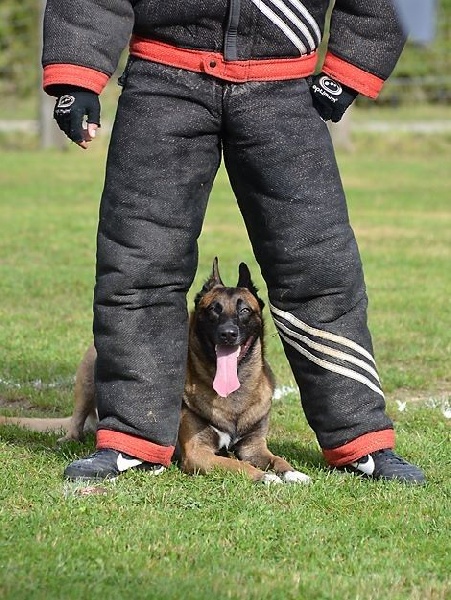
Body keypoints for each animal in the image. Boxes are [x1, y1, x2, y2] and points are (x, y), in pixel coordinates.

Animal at [0, 260, 310, 486]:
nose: (228, 334)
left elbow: (276, 458)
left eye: (244, 310)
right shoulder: (198, 454)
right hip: (90, 367)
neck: (234, 394)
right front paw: (265, 477)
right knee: (76, 422)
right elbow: (235, 464)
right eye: (213, 310)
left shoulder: (255, 448)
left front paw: (292, 472)